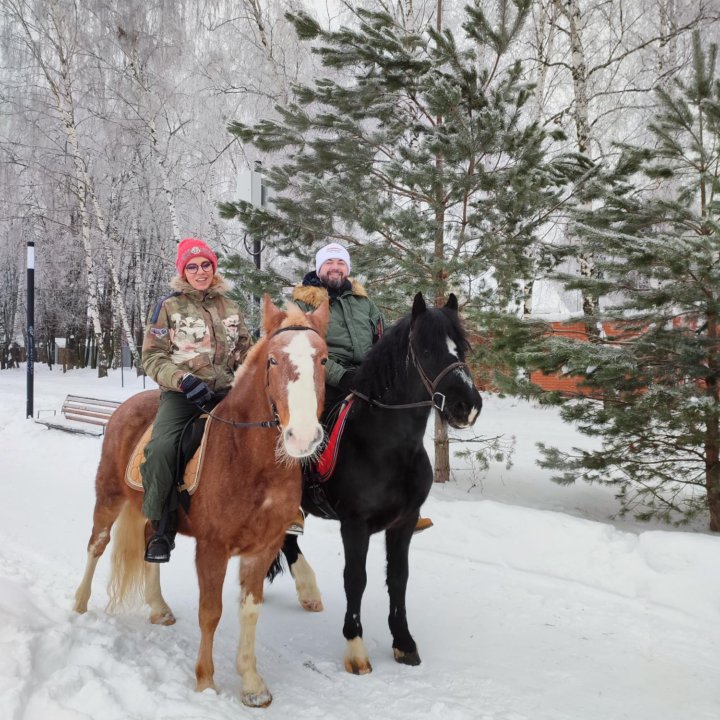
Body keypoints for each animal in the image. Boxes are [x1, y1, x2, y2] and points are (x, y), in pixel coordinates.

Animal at [71, 296, 330, 704]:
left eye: (323, 359)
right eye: (273, 360)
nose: (302, 436)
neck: (248, 457)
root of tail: (128, 405)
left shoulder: (264, 547)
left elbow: (250, 609)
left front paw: (252, 683)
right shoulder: (212, 548)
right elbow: (211, 611)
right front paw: (206, 681)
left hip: (151, 512)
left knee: (149, 543)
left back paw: (158, 607)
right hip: (108, 495)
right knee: (96, 545)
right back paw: (79, 605)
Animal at [276, 292, 484, 676]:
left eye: (461, 348)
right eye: (426, 349)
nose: (468, 406)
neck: (385, 445)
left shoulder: (403, 523)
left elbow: (398, 579)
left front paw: (403, 642)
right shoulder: (354, 525)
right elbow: (355, 579)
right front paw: (356, 648)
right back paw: (308, 589)